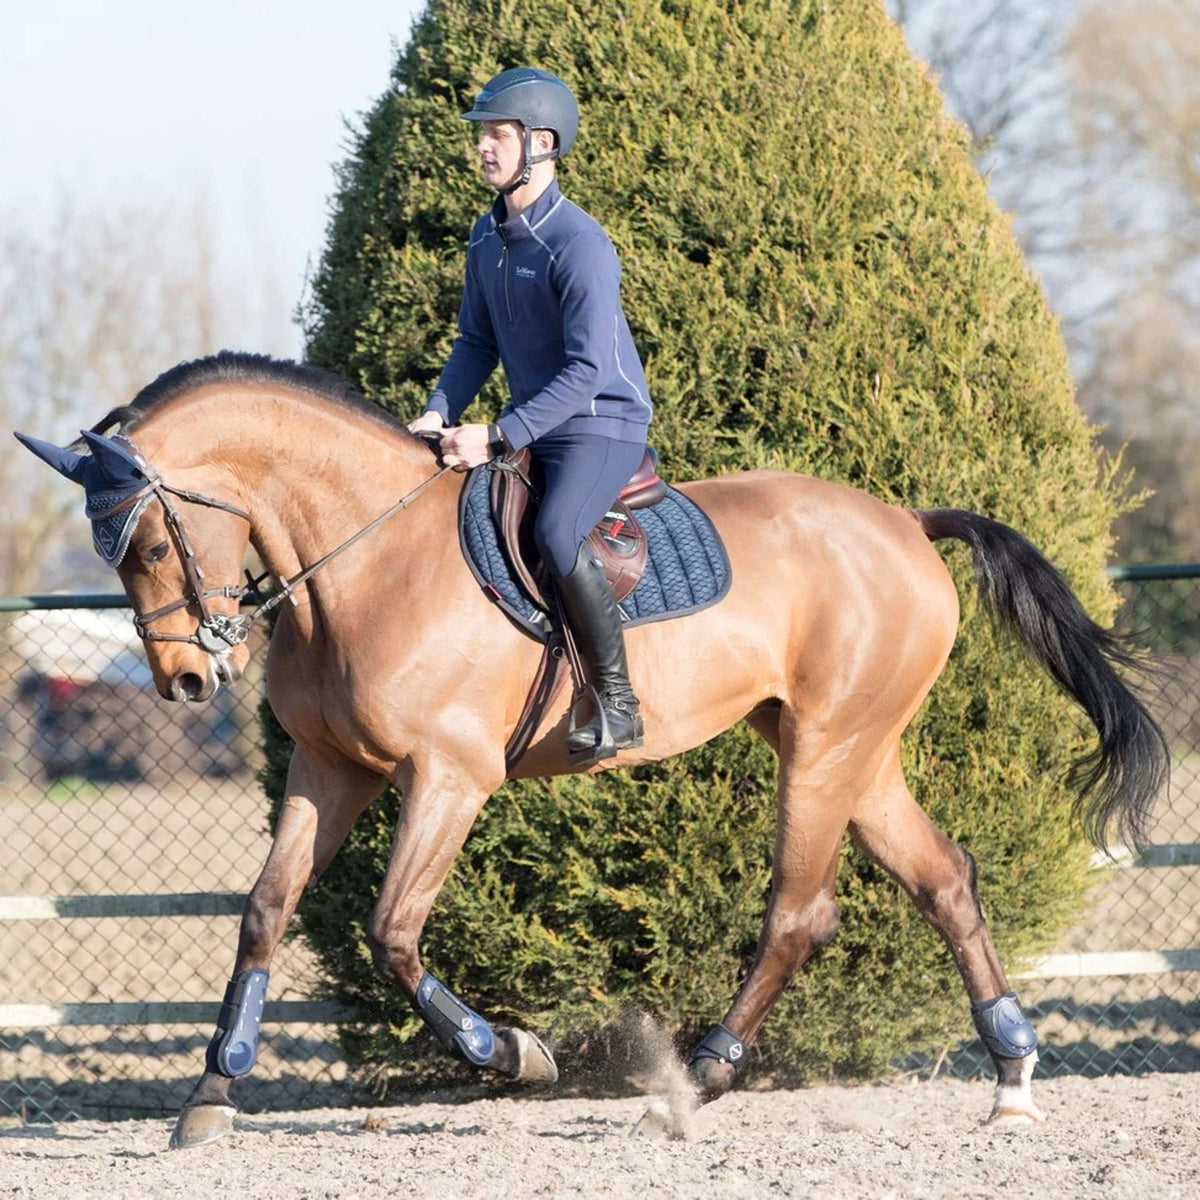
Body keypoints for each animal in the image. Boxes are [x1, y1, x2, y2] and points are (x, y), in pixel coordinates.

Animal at [14, 350, 1166, 1147]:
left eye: (148, 544)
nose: (186, 681)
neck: (365, 555)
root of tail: (900, 519)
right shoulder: (331, 769)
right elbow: (264, 910)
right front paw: (213, 1089)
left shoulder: (450, 778)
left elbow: (393, 933)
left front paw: (515, 1055)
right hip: (854, 749)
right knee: (943, 880)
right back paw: (1010, 1075)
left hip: (826, 750)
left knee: (799, 915)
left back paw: (695, 1082)